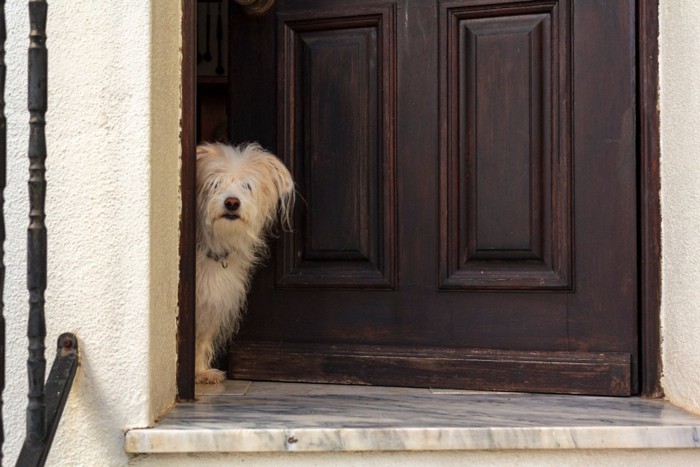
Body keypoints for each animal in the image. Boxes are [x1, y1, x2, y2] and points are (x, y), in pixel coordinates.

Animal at [196, 143, 294, 384]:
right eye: (215, 183)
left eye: (247, 186)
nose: (232, 202)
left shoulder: (213, 300)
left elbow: (201, 338)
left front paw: (200, 372)